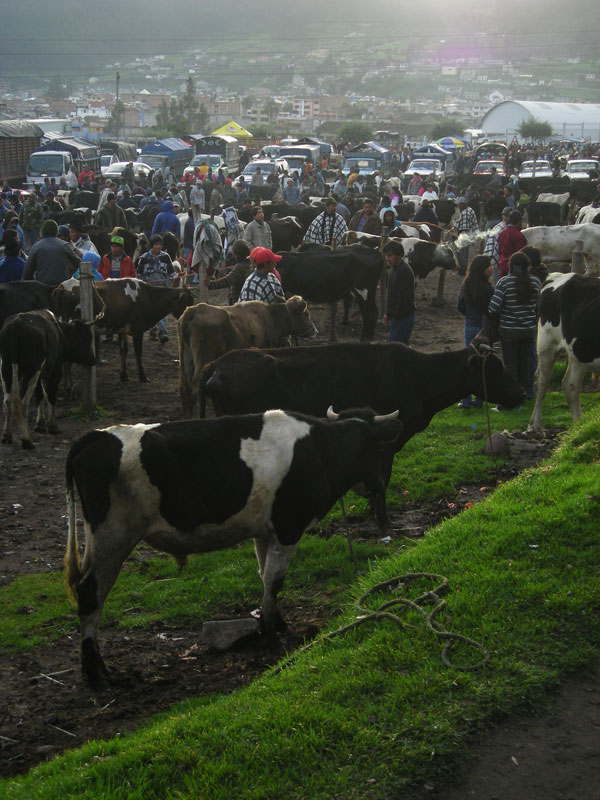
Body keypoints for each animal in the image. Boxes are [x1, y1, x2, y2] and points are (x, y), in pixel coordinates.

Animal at [64, 406, 404, 688]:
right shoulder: (288, 529)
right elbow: (275, 580)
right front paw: (271, 634)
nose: (380, 487)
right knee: (90, 595)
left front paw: (277, 624)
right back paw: (95, 673)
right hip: (113, 537)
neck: (318, 451)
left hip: (99, 539)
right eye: (380, 448)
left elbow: (265, 578)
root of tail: (98, 436)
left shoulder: (264, 532)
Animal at [178, 296, 318, 418]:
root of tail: (193, 310)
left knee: (185, 390)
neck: (271, 317)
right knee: (194, 390)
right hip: (202, 359)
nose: (315, 331)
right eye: (306, 315)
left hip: (187, 360)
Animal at [528, 270, 600, 432]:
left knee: (570, 385)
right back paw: (536, 423)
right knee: (542, 383)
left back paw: (579, 426)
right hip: (546, 344)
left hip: (577, 352)